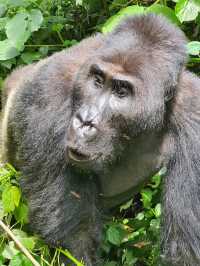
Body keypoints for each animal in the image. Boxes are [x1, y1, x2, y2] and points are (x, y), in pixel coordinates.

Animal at [1, 14, 200, 266]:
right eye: (97, 81)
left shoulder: (194, 113)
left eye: (121, 91)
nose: (85, 122)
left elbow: (184, 245)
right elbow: (73, 239)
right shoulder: (48, 92)